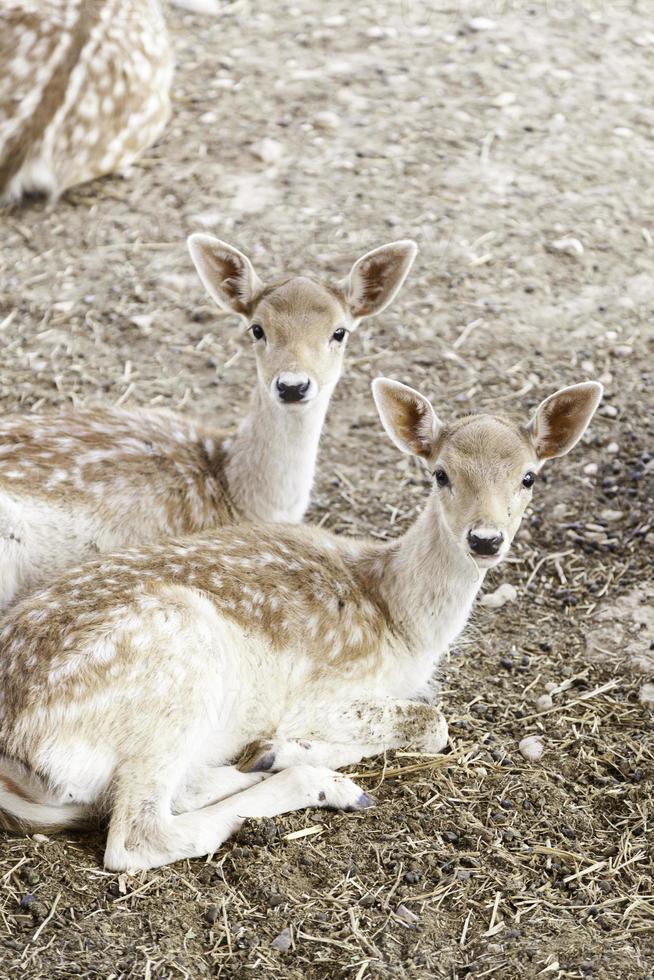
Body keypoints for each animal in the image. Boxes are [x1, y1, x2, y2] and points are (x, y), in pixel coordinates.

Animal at [0, 378, 604, 868]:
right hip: (176, 671)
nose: (485, 539)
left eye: (529, 477)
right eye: (441, 474)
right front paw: (296, 748)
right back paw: (318, 781)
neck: (402, 623)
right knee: (138, 836)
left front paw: (278, 750)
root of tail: (19, 750)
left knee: (181, 789)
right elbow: (432, 723)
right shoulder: (328, 690)